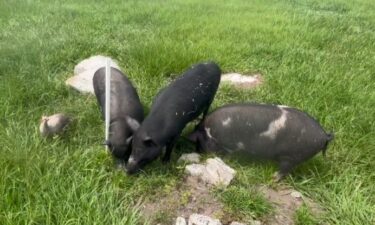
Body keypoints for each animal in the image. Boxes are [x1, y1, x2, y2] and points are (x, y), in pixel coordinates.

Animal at [189, 103, 334, 181]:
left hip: (292, 156)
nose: (200, 153)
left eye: (200, 142)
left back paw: (272, 178)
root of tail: (324, 136)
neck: (209, 130)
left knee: (284, 169)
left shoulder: (229, 144)